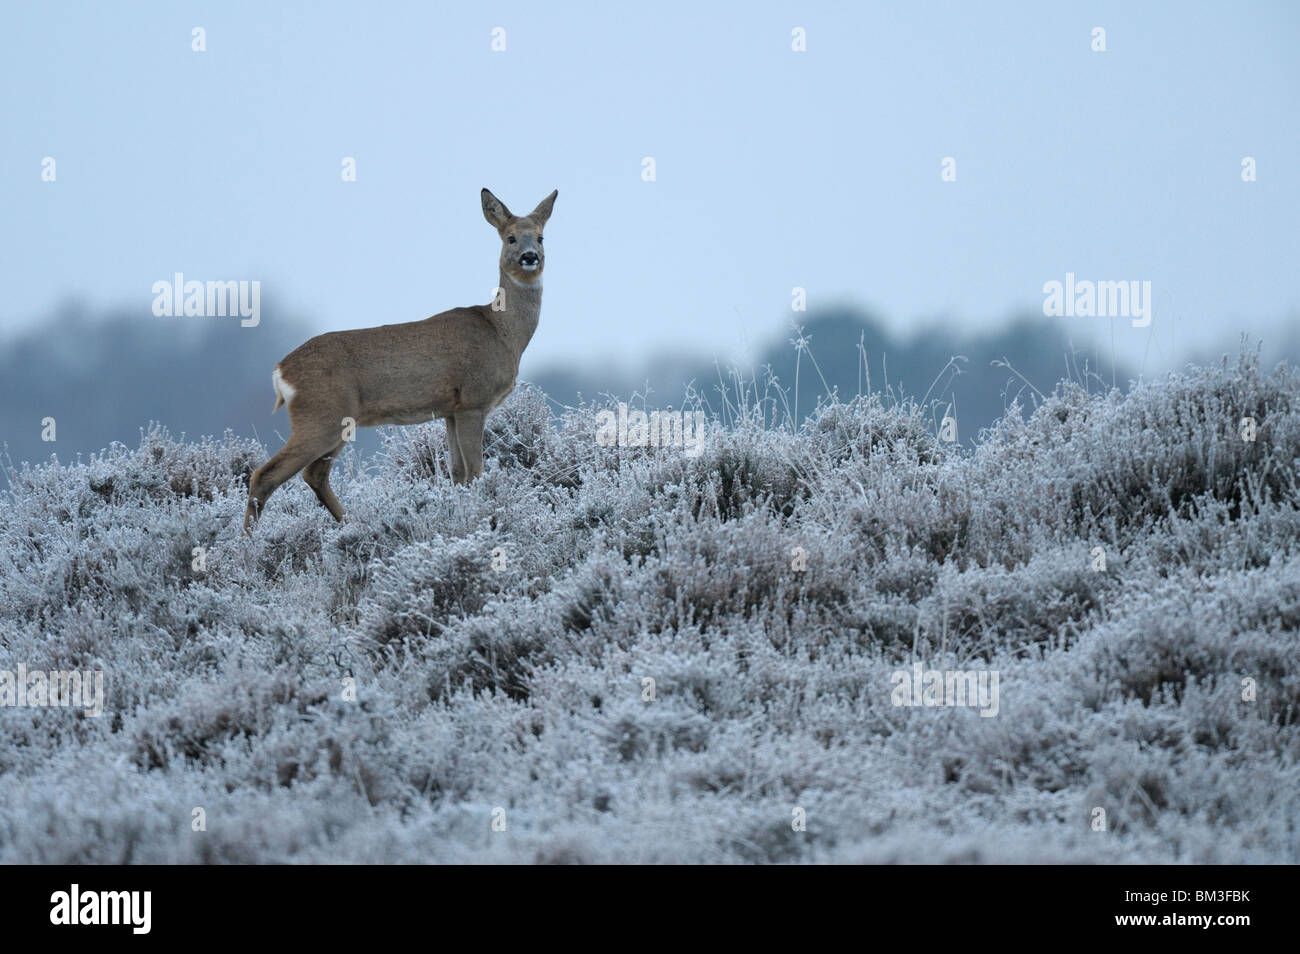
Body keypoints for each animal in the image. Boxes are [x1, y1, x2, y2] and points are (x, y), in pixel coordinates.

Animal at [244, 187, 559, 530]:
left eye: (541, 237)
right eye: (510, 238)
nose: (530, 257)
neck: (502, 332)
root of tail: (281, 371)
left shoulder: (451, 410)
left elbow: (458, 473)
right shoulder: (473, 400)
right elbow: (475, 471)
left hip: (336, 420)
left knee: (313, 474)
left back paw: (351, 525)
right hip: (320, 416)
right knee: (265, 475)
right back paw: (250, 540)